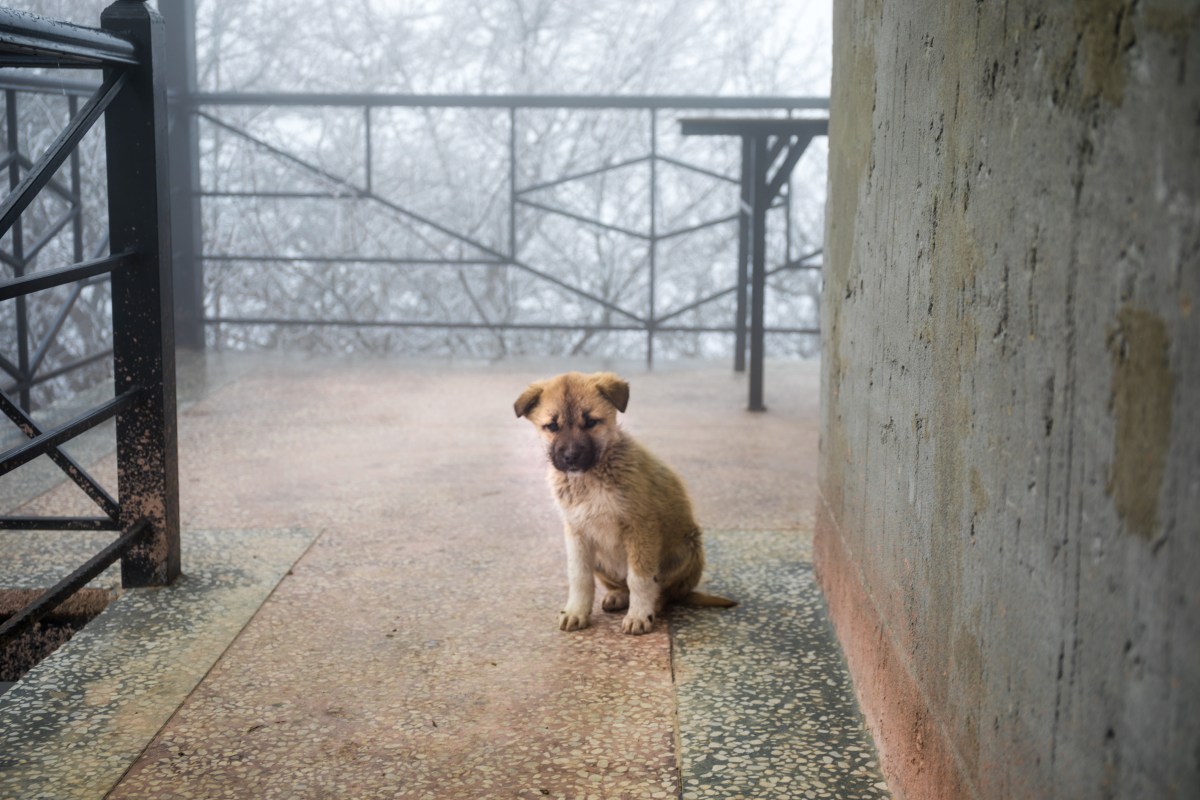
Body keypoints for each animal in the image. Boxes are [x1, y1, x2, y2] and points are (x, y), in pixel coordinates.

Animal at [513, 371, 734, 638]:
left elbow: (640, 578)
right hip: (600, 561)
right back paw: (618, 596)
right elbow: (579, 576)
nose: (571, 457)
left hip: (686, 549)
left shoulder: (640, 527)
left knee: (667, 592)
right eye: (552, 426)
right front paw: (576, 611)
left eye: (591, 422)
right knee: (621, 585)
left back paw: (655, 604)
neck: (589, 479)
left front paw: (639, 615)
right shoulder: (576, 531)